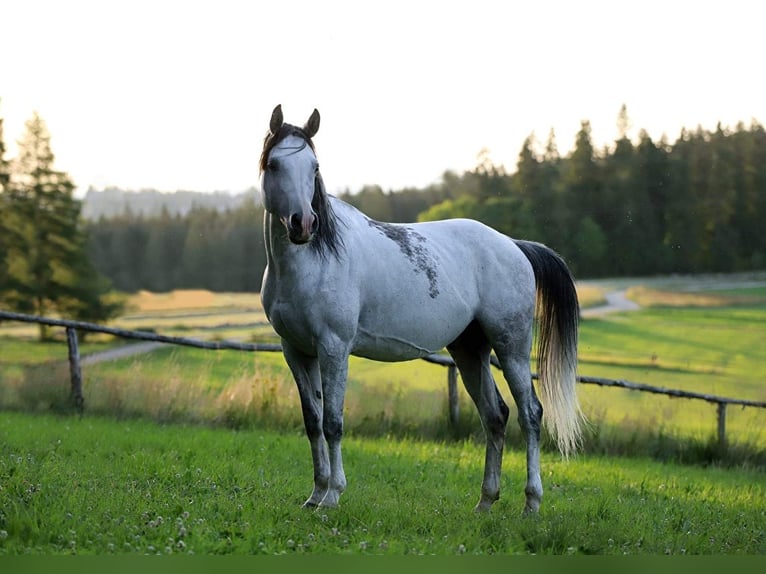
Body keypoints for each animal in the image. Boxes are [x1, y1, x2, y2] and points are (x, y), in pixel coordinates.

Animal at [258, 106, 584, 516]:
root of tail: (514, 245)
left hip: (511, 347)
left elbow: (333, 422)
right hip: (469, 350)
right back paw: (485, 502)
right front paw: (315, 494)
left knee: (530, 414)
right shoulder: (297, 351)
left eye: (314, 167)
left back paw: (531, 504)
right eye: (274, 164)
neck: (312, 262)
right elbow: (312, 421)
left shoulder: (333, 348)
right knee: (495, 417)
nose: (303, 224)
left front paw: (332, 496)